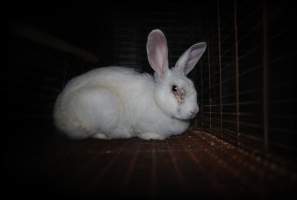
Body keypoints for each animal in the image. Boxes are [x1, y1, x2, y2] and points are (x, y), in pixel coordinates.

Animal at [53, 28, 206, 140]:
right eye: (174, 89)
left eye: (192, 84)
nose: (195, 111)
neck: (156, 101)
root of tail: (58, 117)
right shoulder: (142, 125)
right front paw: (154, 137)